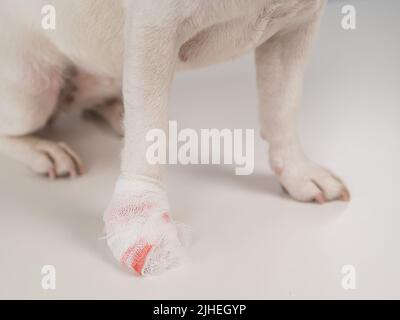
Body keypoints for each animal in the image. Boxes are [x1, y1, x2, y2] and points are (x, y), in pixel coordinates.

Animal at [0, 0, 348, 276]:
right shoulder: (154, 31)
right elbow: (148, 131)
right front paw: (143, 225)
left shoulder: (295, 29)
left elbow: (282, 108)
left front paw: (298, 173)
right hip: (31, 90)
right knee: (11, 129)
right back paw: (44, 150)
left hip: (107, 69)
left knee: (101, 101)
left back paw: (117, 114)